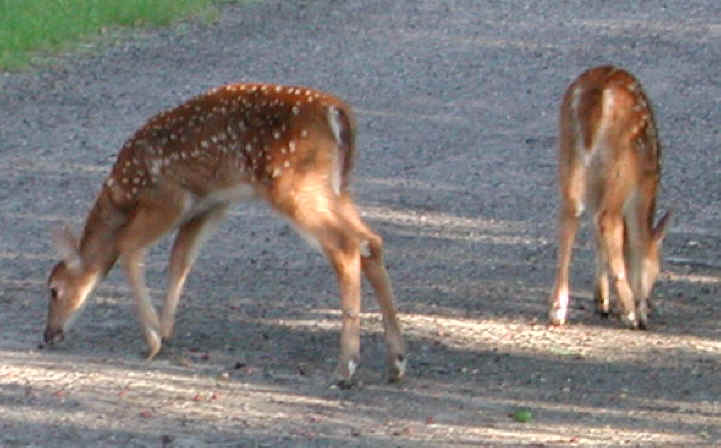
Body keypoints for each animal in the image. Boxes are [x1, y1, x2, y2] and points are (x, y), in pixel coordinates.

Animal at [42, 83, 406, 386]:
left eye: (54, 290)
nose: (48, 334)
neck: (122, 195)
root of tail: (337, 112)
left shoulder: (170, 198)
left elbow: (128, 248)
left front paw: (152, 340)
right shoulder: (211, 205)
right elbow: (180, 260)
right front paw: (166, 331)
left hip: (294, 183)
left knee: (346, 246)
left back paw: (346, 369)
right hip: (334, 188)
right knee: (371, 242)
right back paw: (396, 362)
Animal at [548, 66, 670, 330]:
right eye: (656, 272)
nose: (648, 303)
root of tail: (597, 93)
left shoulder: (596, 188)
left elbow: (596, 235)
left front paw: (601, 300)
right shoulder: (642, 183)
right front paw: (631, 309)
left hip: (569, 149)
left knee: (570, 213)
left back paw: (557, 309)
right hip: (620, 163)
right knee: (608, 220)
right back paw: (631, 313)